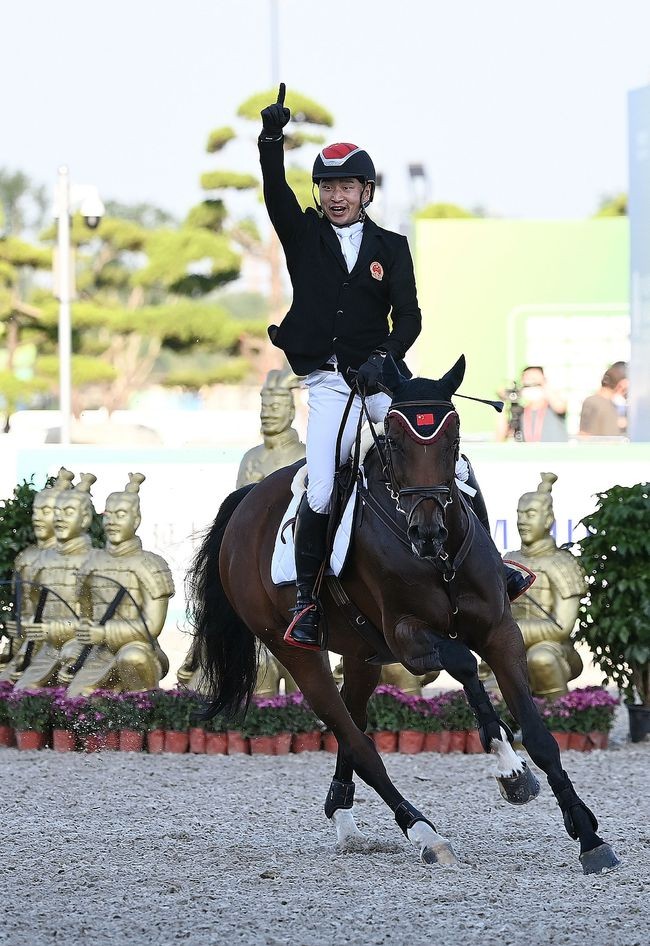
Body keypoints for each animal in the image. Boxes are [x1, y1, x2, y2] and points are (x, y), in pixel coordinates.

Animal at [187, 358, 616, 872]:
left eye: (453, 439)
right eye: (394, 441)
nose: (426, 532)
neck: (439, 560)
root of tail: (247, 502)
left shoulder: (500, 631)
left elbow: (538, 732)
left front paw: (588, 834)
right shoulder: (409, 636)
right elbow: (464, 663)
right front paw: (508, 767)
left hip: (362, 654)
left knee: (353, 723)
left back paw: (344, 818)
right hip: (296, 650)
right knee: (358, 742)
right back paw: (425, 832)